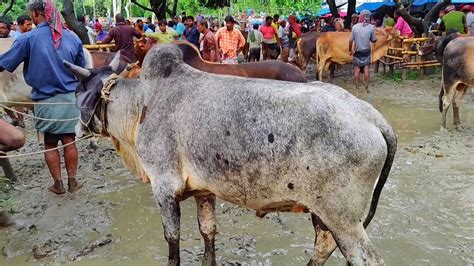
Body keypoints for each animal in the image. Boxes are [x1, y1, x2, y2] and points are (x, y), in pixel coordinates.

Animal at [63, 43, 396, 264]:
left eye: (77, 90)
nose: (76, 129)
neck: (141, 104)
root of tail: (372, 118)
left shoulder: (164, 188)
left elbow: (172, 240)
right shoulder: (202, 190)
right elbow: (208, 232)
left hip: (343, 220)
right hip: (324, 215)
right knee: (323, 246)